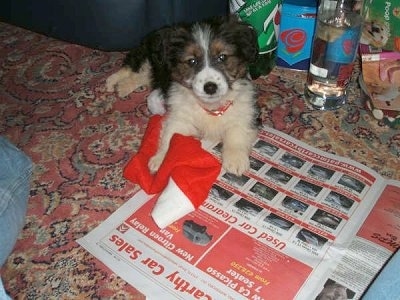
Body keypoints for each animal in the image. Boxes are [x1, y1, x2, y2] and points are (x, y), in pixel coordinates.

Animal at [107, 16, 260, 176]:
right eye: (191, 61)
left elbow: (237, 132)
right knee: (132, 67)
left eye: (222, 57)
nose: (210, 87)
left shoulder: (247, 112)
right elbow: (170, 136)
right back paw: (113, 83)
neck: (211, 106)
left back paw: (122, 87)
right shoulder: (179, 116)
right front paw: (161, 160)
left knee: (140, 77)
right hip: (150, 59)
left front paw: (236, 160)